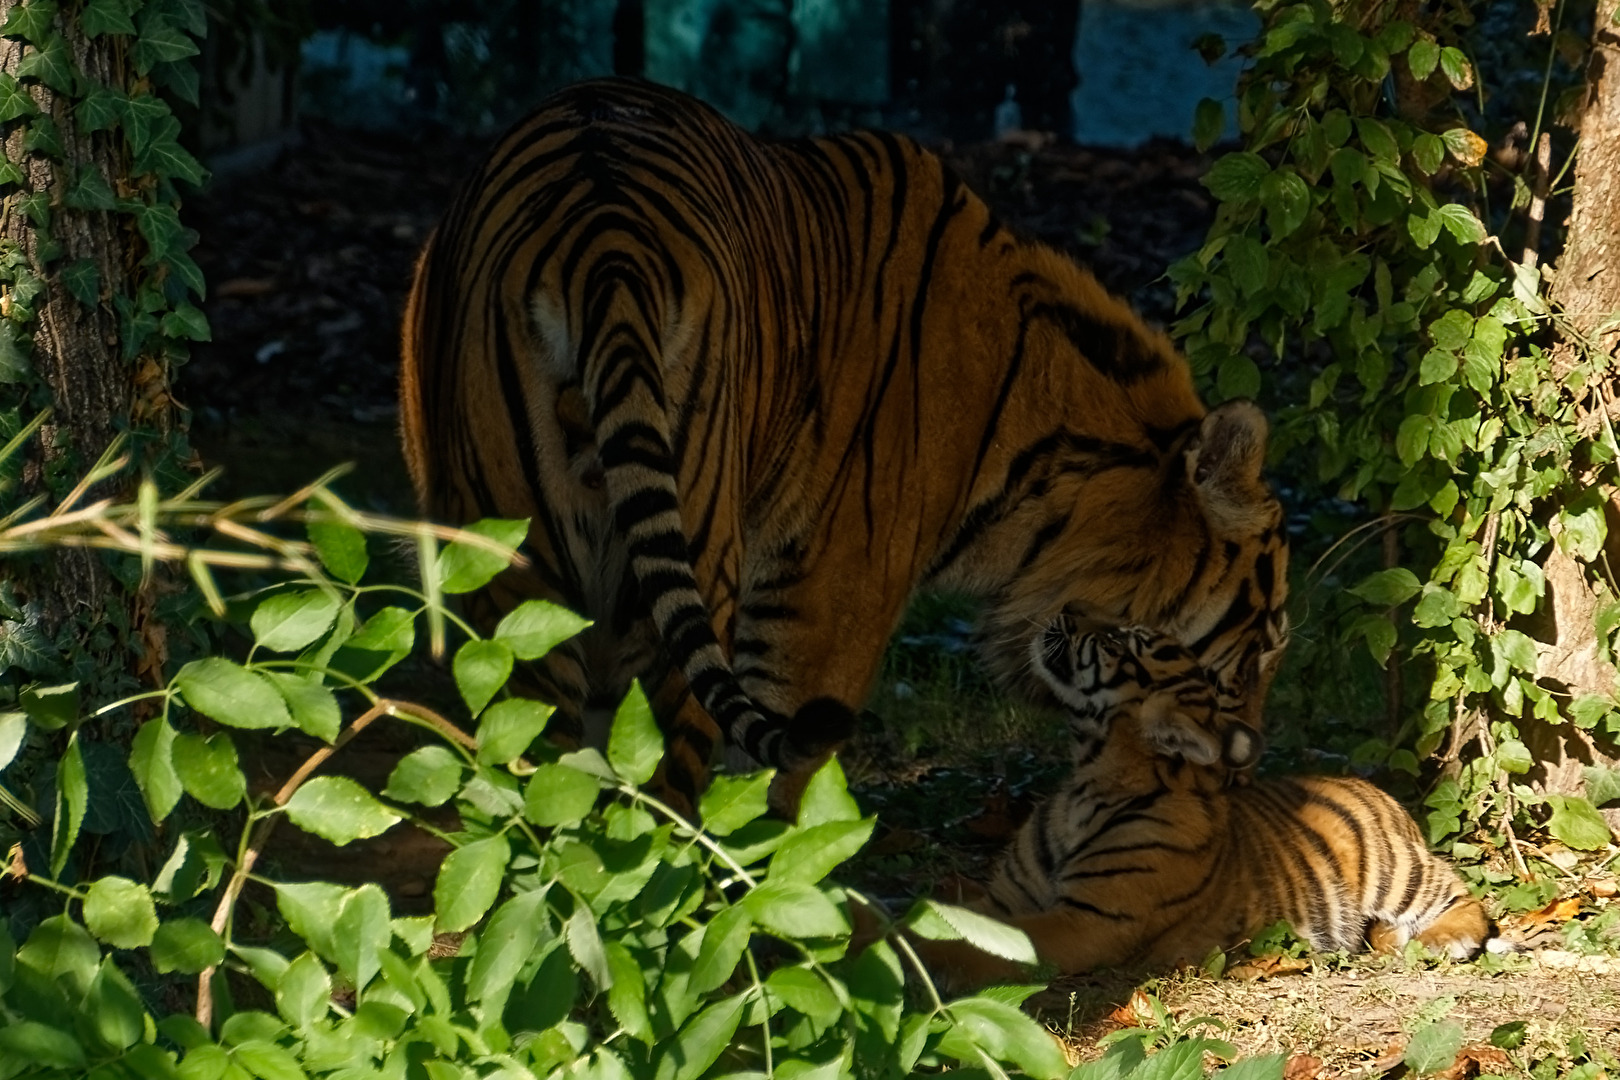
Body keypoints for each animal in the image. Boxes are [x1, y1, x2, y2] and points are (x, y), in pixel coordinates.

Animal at [398, 77, 1289, 815]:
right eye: (1263, 645)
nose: (1242, 760)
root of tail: (602, 236)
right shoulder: (828, 588)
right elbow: (781, 781)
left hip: (512, 562)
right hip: (694, 554)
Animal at [907, 616, 1496, 989]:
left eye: (1118, 642)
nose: (1064, 612)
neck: (1090, 779)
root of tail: (1373, 787)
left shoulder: (1088, 922)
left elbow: (973, 945)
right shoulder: (1007, 898)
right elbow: (949, 920)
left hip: (1396, 871)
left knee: (1464, 899)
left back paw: (1438, 940)